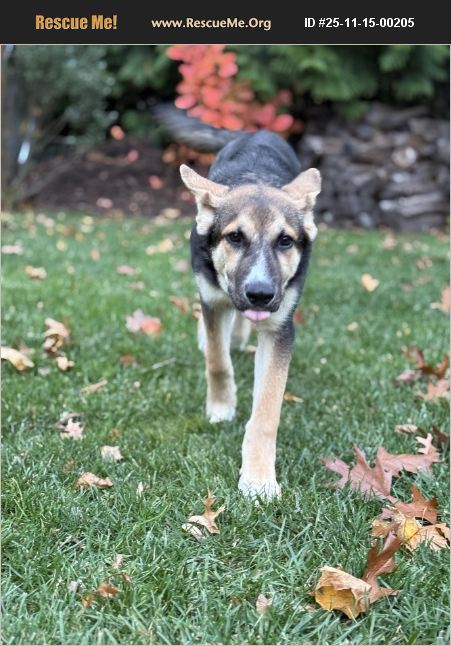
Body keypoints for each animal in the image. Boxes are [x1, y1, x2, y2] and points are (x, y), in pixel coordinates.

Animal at [156, 107, 321, 499]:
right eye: (235, 237)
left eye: (285, 241)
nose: (260, 293)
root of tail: (253, 130)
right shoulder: (213, 301)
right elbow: (217, 362)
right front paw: (221, 408)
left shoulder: (280, 327)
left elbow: (267, 412)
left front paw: (258, 478)